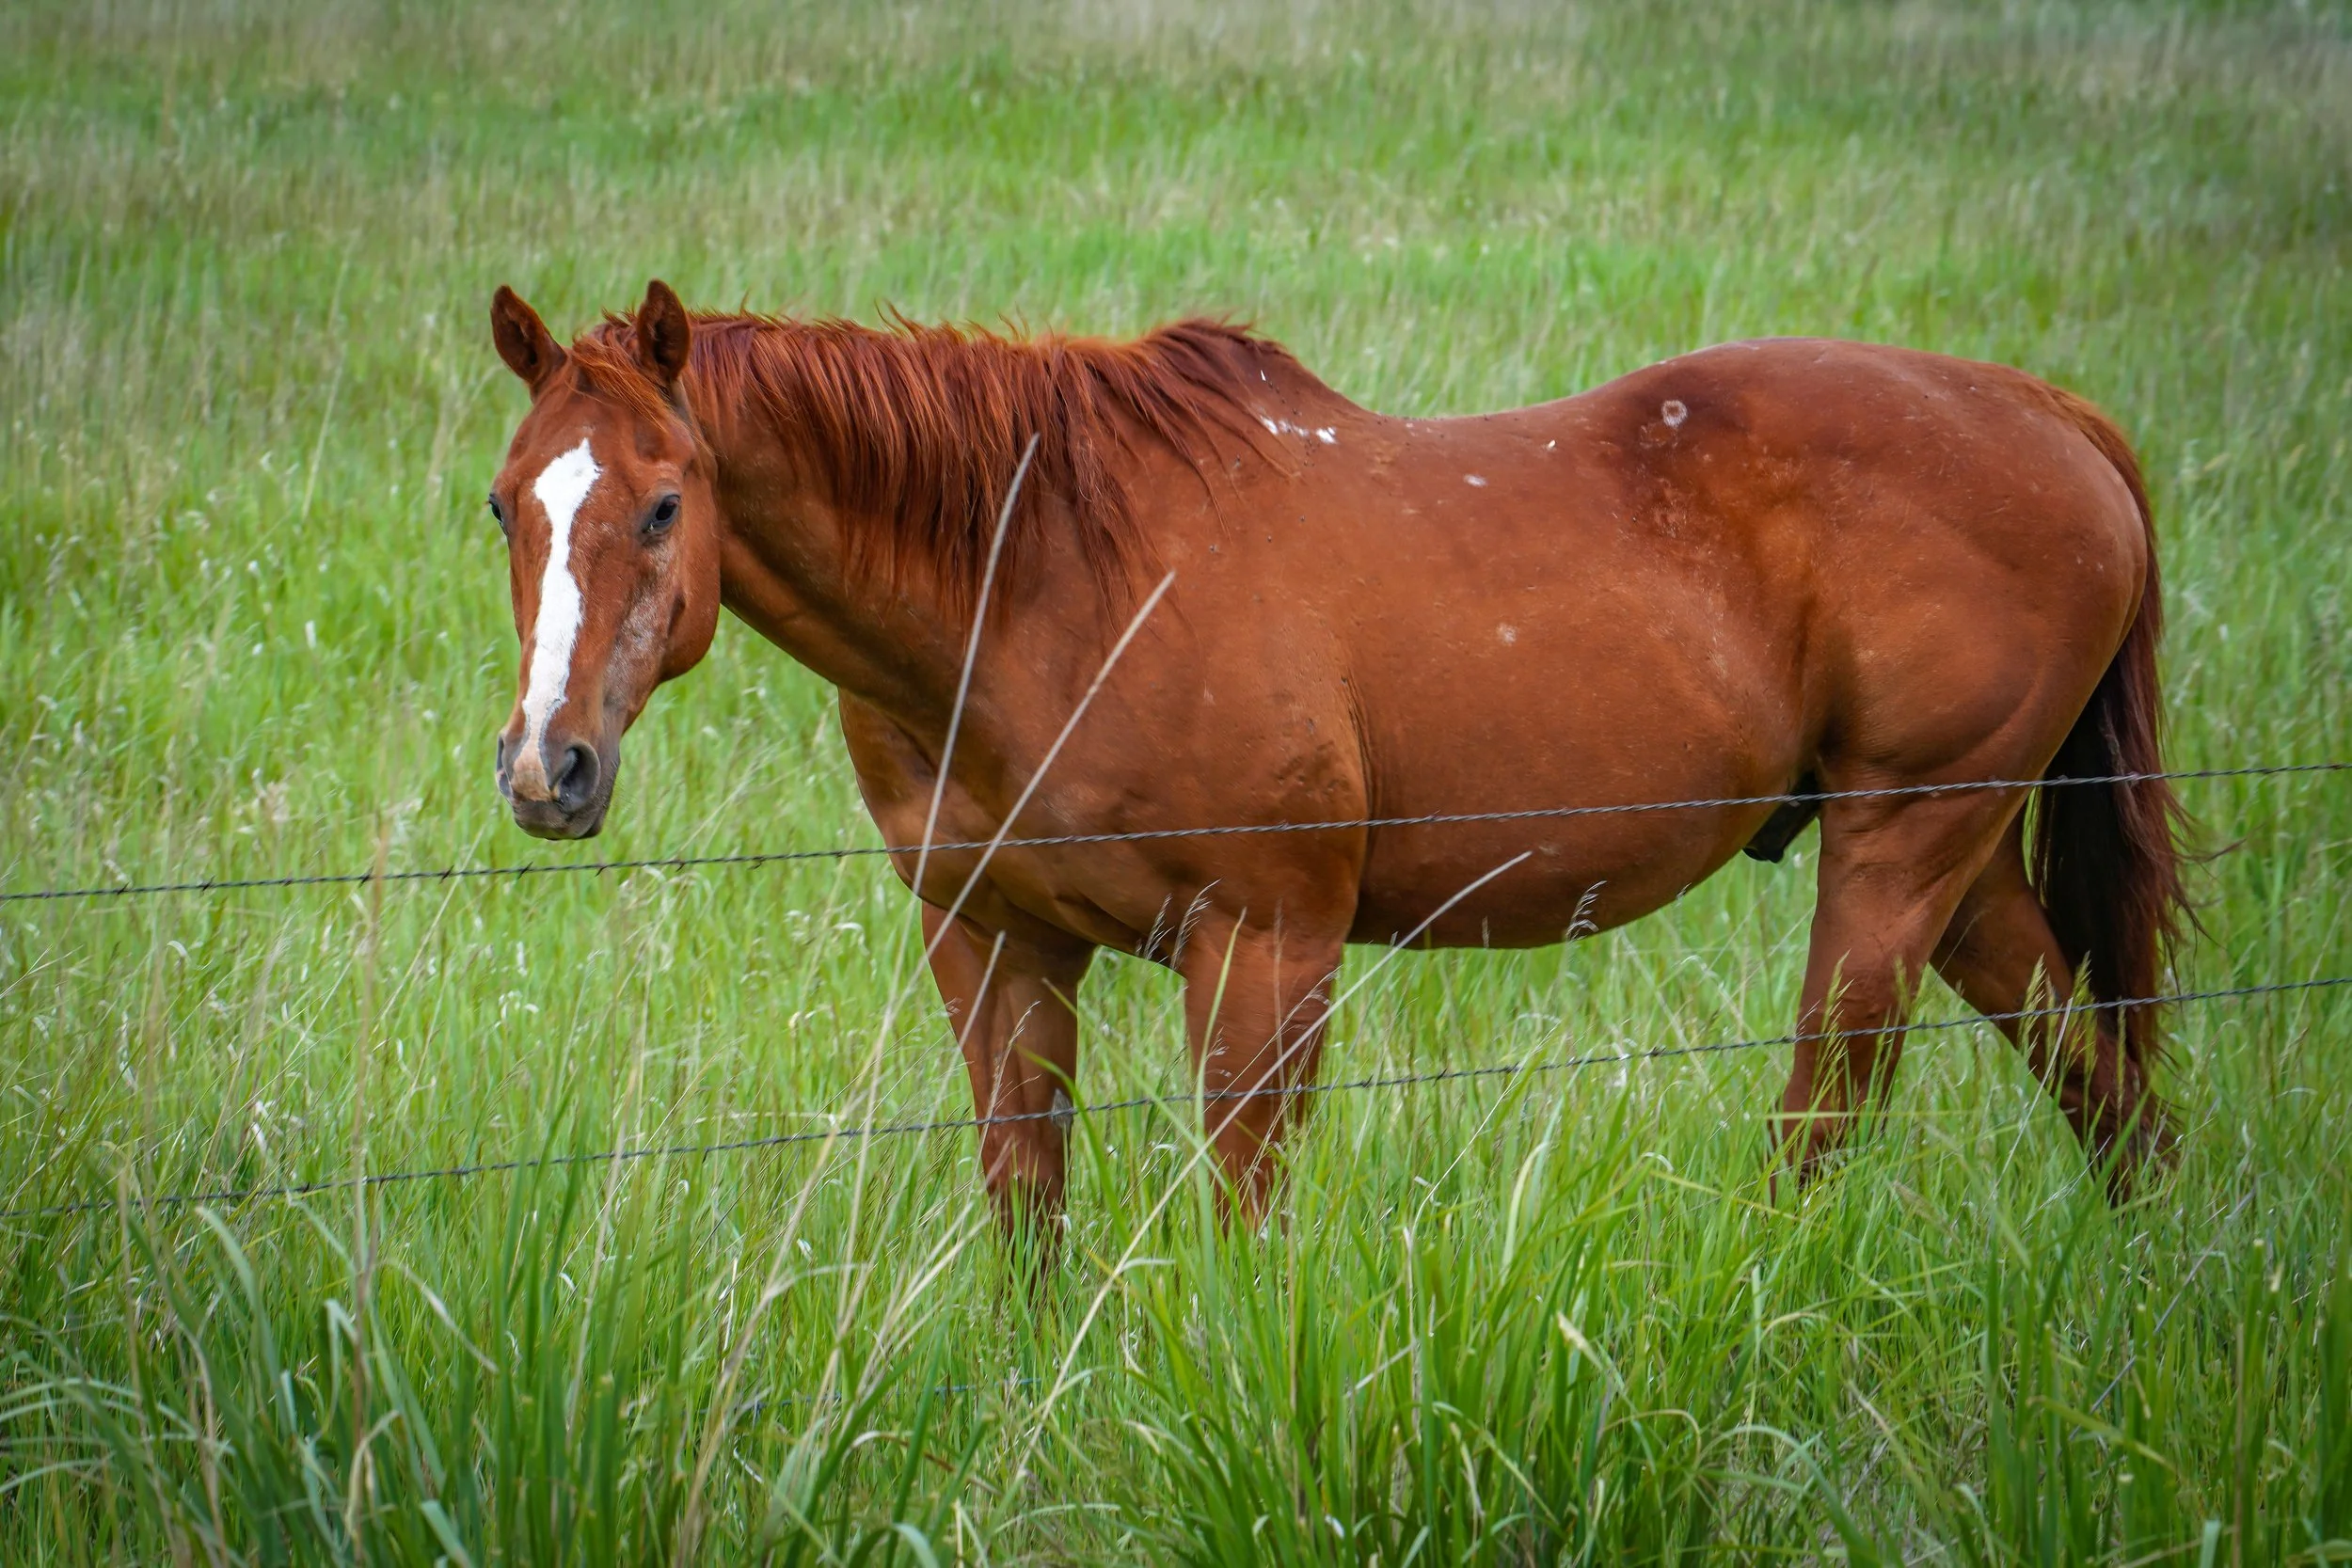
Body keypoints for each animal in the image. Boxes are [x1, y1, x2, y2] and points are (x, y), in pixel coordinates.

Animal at [484, 279, 2189, 1238]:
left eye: (661, 502)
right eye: (506, 501)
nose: (548, 764)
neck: (1041, 578)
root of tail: (2055, 417)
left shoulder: (1262, 953)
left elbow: (1251, 1225)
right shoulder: (995, 945)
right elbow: (1026, 1216)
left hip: (1902, 853)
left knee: (1832, 1112)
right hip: (1957, 870)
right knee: (2104, 1089)